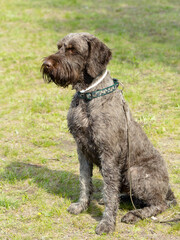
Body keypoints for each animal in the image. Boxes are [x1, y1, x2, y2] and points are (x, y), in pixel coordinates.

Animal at [40, 32, 176, 234]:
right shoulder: (82, 149)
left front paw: (107, 223)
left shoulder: (109, 153)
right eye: (59, 47)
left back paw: (135, 214)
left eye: (73, 49)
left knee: (159, 204)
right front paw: (82, 206)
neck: (88, 98)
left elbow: (109, 190)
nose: (47, 64)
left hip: (134, 172)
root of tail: (167, 189)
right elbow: (85, 181)